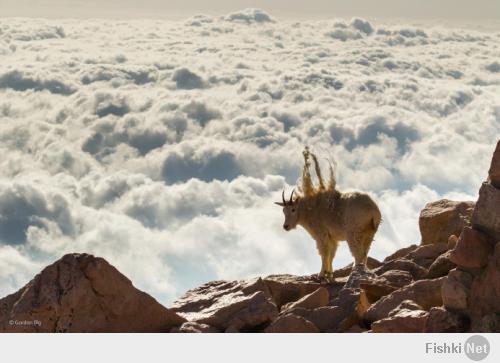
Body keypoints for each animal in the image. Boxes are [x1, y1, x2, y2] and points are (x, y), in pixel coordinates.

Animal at [278, 146, 378, 280]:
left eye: (293, 210)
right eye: (283, 211)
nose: (286, 226)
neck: (309, 209)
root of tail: (373, 210)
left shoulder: (321, 234)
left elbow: (324, 253)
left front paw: (321, 274)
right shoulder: (332, 237)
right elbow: (331, 254)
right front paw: (329, 274)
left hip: (354, 232)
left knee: (358, 253)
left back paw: (355, 272)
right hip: (369, 233)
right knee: (365, 252)